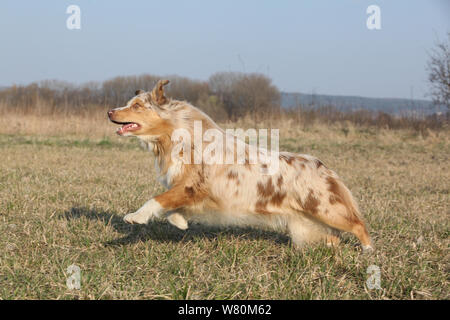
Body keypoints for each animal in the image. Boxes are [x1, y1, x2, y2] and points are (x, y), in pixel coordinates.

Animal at [107, 80, 374, 252]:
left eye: (137, 106)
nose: (109, 111)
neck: (179, 136)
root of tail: (324, 167)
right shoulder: (195, 192)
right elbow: (174, 210)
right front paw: (180, 221)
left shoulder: (192, 186)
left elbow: (156, 200)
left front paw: (135, 217)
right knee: (334, 236)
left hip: (325, 209)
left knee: (358, 224)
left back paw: (368, 251)